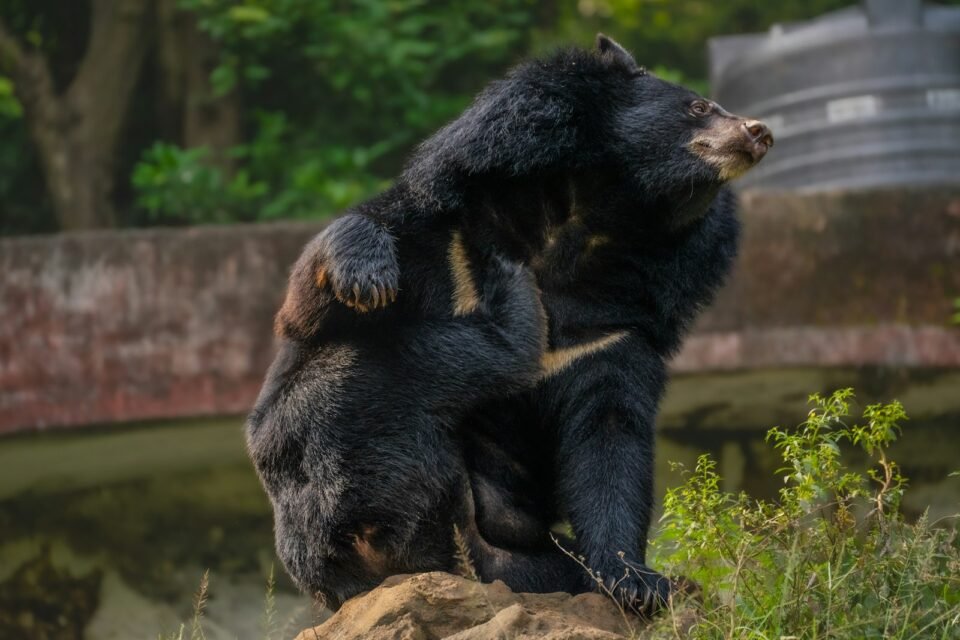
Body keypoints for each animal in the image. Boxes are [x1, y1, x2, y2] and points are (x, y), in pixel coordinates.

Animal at [262, 34, 773, 613]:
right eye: (698, 106)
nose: (760, 132)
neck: (584, 220)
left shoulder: (613, 331)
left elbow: (609, 440)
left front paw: (640, 583)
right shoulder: (448, 231)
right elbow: (310, 305)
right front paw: (365, 279)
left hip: (524, 565)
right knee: (360, 383)